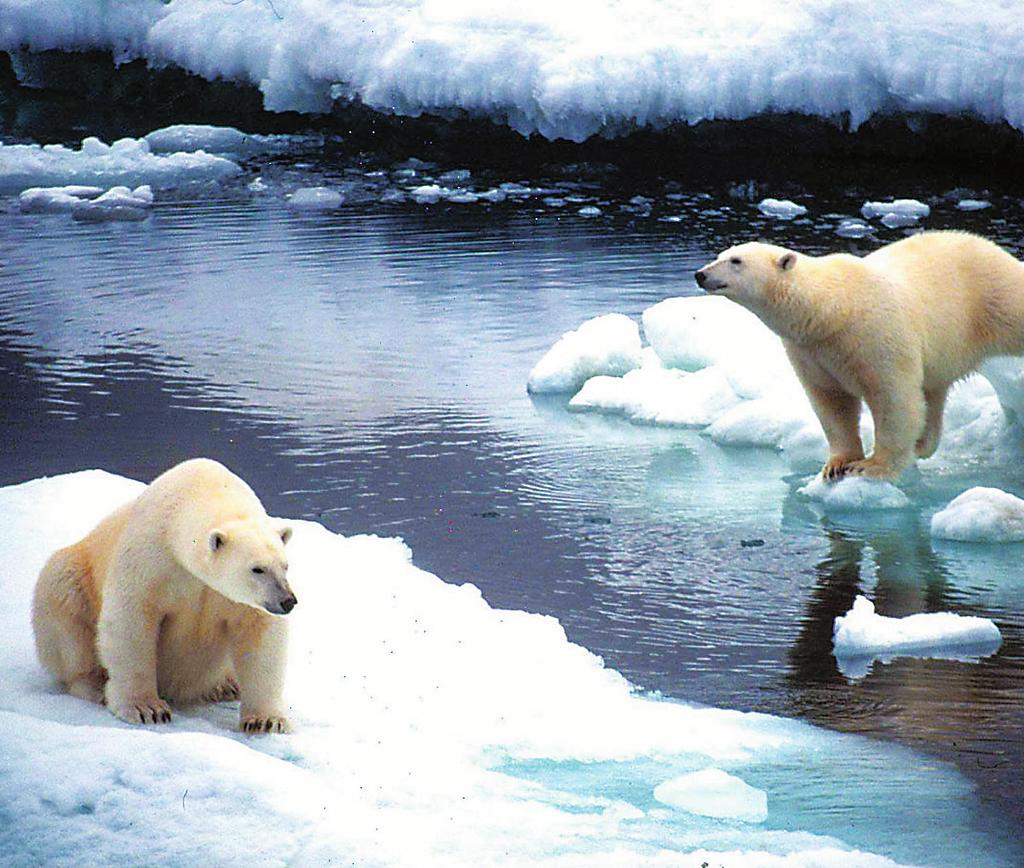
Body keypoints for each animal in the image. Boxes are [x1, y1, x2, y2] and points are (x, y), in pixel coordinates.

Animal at [33, 458, 296, 736]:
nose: (288, 601)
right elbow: (131, 621)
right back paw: (94, 686)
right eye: (257, 569)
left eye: (285, 565)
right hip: (72, 577)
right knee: (66, 610)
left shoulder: (238, 600)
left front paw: (266, 721)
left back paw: (226, 685)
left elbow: (260, 636)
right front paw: (146, 709)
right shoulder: (151, 559)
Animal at [696, 230, 1024, 481]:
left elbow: (893, 398)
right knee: (933, 392)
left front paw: (871, 467)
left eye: (736, 261)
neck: (833, 309)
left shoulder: (875, 336)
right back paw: (922, 444)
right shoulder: (811, 350)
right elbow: (831, 402)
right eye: (722, 254)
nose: (700, 274)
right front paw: (836, 465)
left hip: (994, 296)